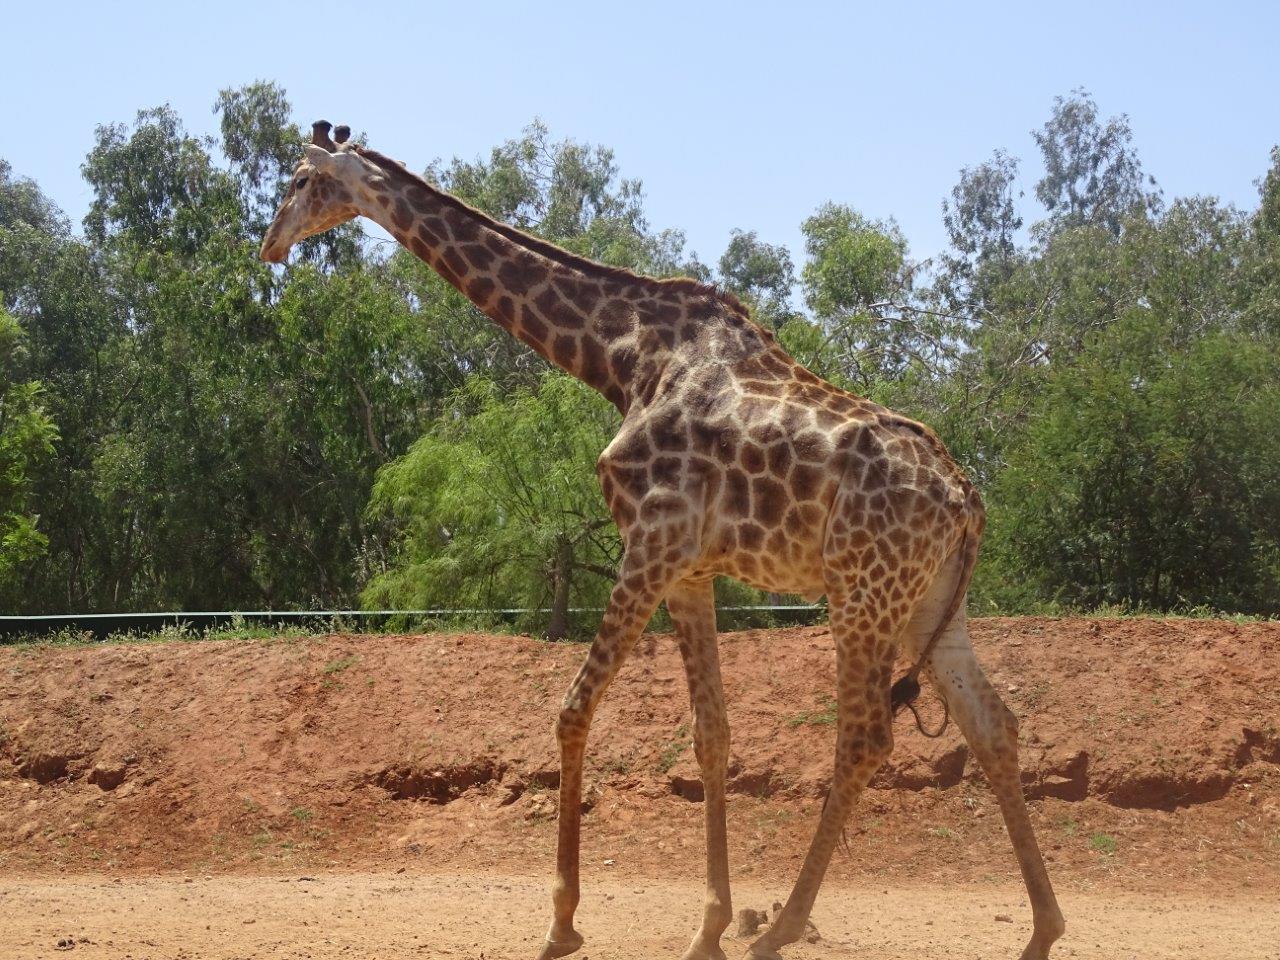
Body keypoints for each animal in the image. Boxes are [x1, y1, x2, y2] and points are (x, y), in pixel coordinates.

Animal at [261, 121, 1065, 960]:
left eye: (300, 179)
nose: (269, 245)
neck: (621, 359)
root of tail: (967, 500)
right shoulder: (689, 570)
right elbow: (712, 733)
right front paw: (707, 927)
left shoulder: (649, 541)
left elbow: (572, 710)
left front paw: (562, 924)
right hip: (931, 605)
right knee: (993, 726)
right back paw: (1040, 930)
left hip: (863, 594)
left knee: (866, 739)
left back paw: (782, 928)